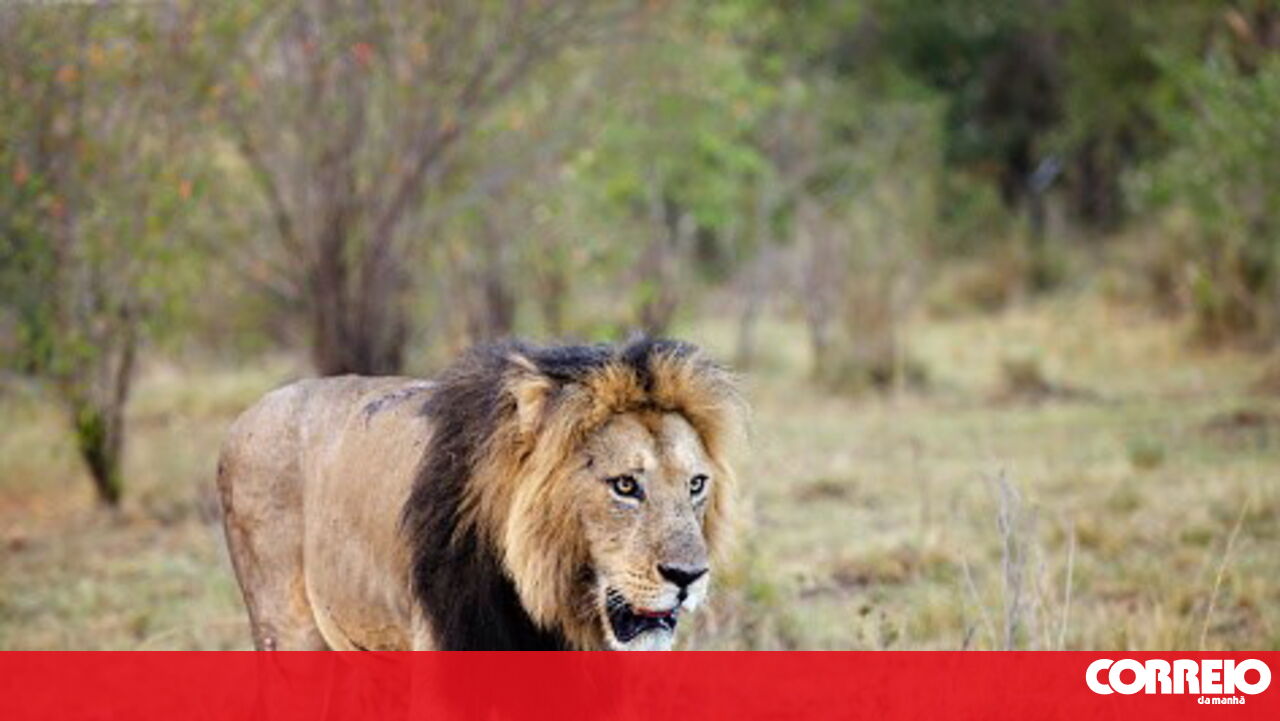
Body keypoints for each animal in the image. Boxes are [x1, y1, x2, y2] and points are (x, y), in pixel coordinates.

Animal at [216, 337, 743, 651]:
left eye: (696, 484)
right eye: (626, 486)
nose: (689, 577)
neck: (542, 605)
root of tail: (244, 417)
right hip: (287, 630)